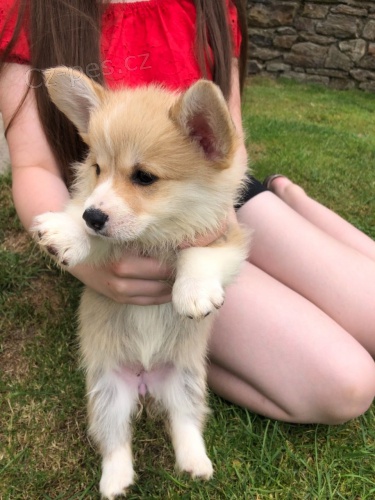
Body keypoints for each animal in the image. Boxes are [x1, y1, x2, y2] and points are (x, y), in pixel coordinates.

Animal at [31, 67, 250, 500]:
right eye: (98, 168)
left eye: (144, 177)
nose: (93, 216)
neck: (156, 236)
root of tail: (147, 383)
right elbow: (90, 231)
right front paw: (66, 231)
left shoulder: (229, 240)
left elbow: (198, 254)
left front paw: (193, 292)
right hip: (107, 397)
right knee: (115, 441)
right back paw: (115, 482)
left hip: (187, 384)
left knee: (185, 423)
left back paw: (196, 464)